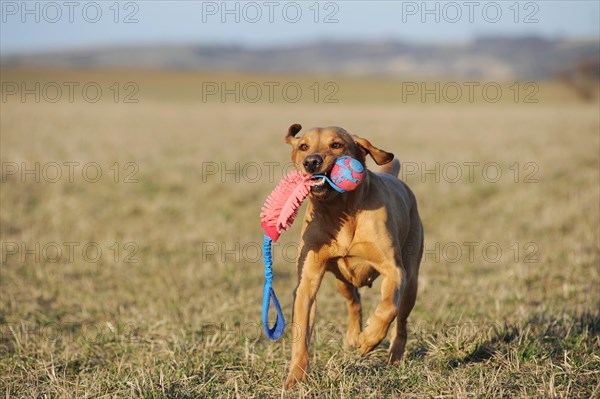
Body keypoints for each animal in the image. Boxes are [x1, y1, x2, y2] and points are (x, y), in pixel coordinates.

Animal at [284, 123, 424, 390]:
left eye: (336, 144)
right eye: (303, 146)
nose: (311, 162)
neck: (339, 210)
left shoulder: (393, 269)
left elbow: (388, 306)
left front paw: (369, 339)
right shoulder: (307, 282)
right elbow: (301, 333)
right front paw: (296, 376)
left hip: (411, 280)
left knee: (401, 322)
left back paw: (393, 356)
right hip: (342, 280)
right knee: (354, 301)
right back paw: (352, 336)